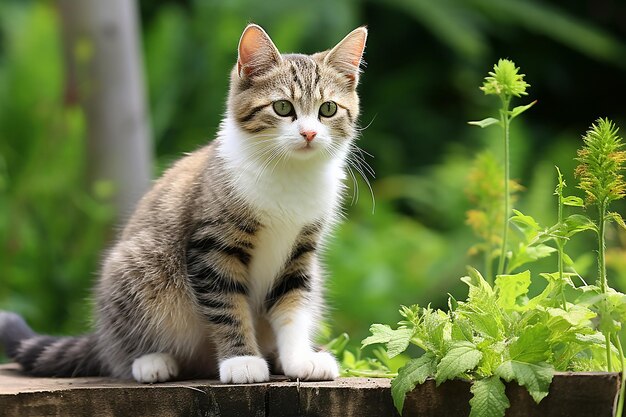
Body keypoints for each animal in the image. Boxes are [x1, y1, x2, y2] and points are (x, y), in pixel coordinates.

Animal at [0, 24, 366, 384]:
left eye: (328, 109)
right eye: (283, 108)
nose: (309, 134)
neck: (289, 173)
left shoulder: (301, 251)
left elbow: (294, 305)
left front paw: (299, 358)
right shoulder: (212, 246)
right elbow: (227, 305)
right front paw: (242, 361)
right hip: (136, 269)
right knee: (121, 349)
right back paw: (151, 361)